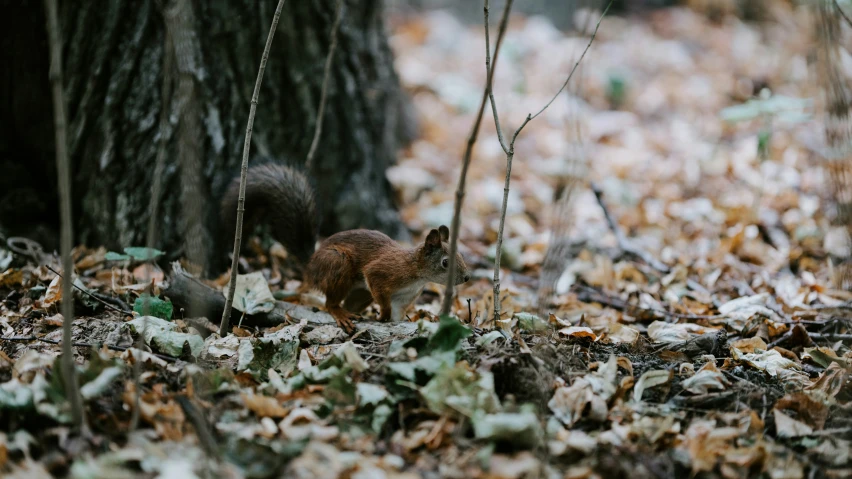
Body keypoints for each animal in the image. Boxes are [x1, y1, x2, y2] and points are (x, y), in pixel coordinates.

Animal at [221, 163, 472, 332]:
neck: (416, 272)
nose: (467, 277)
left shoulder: (404, 298)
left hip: (359, 292)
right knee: (330, 303)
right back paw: (341, 314)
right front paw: (383, 314)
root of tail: (310, 266)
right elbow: (379, 289)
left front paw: (396, 320)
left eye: (460, 254)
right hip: (337, 264)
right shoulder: (382, 273)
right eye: (445, 262)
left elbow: (398, 313)